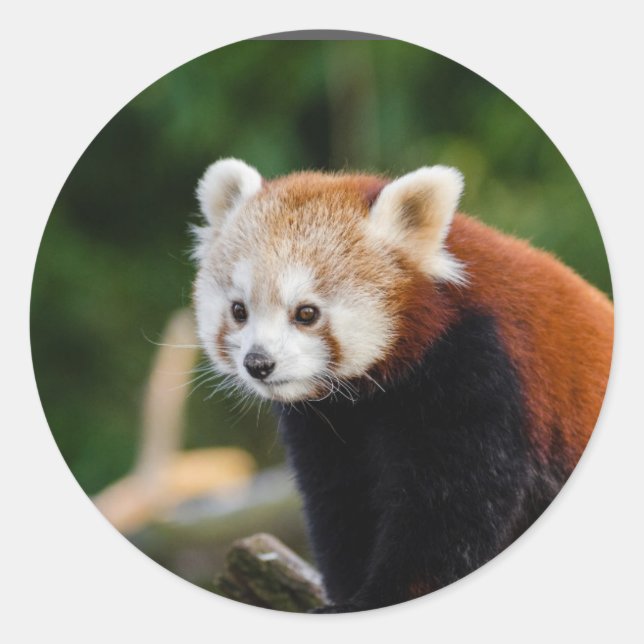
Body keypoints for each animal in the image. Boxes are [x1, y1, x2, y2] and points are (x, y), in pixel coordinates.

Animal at [191, 158, 613, 612]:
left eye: (306, 313)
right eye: (239, 311)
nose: (258, 363)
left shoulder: (480, 370)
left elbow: (448, 513)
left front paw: (379, 598)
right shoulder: (330, 424)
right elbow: (341, 502)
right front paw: (345, 594)